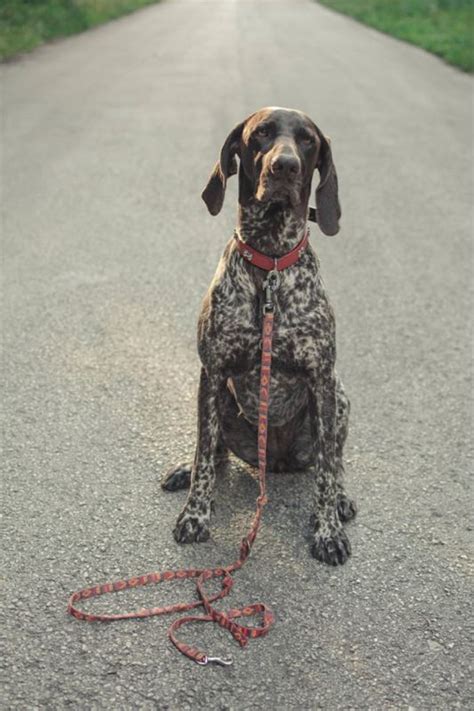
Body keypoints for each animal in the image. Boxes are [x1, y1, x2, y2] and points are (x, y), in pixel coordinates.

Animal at [161, 105, 358, 564]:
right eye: (262, 134)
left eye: (307, 140)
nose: (284, 166)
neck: (270, 262)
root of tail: (277, 462)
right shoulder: (212, 373)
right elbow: (204, 454)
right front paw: (195, 514)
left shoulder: (323, 379)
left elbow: (326, 472)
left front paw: (327, 530)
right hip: (219, 401)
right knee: (213, 454)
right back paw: (186, 470)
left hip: (340, 398)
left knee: (333, 460)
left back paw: (340, 499)